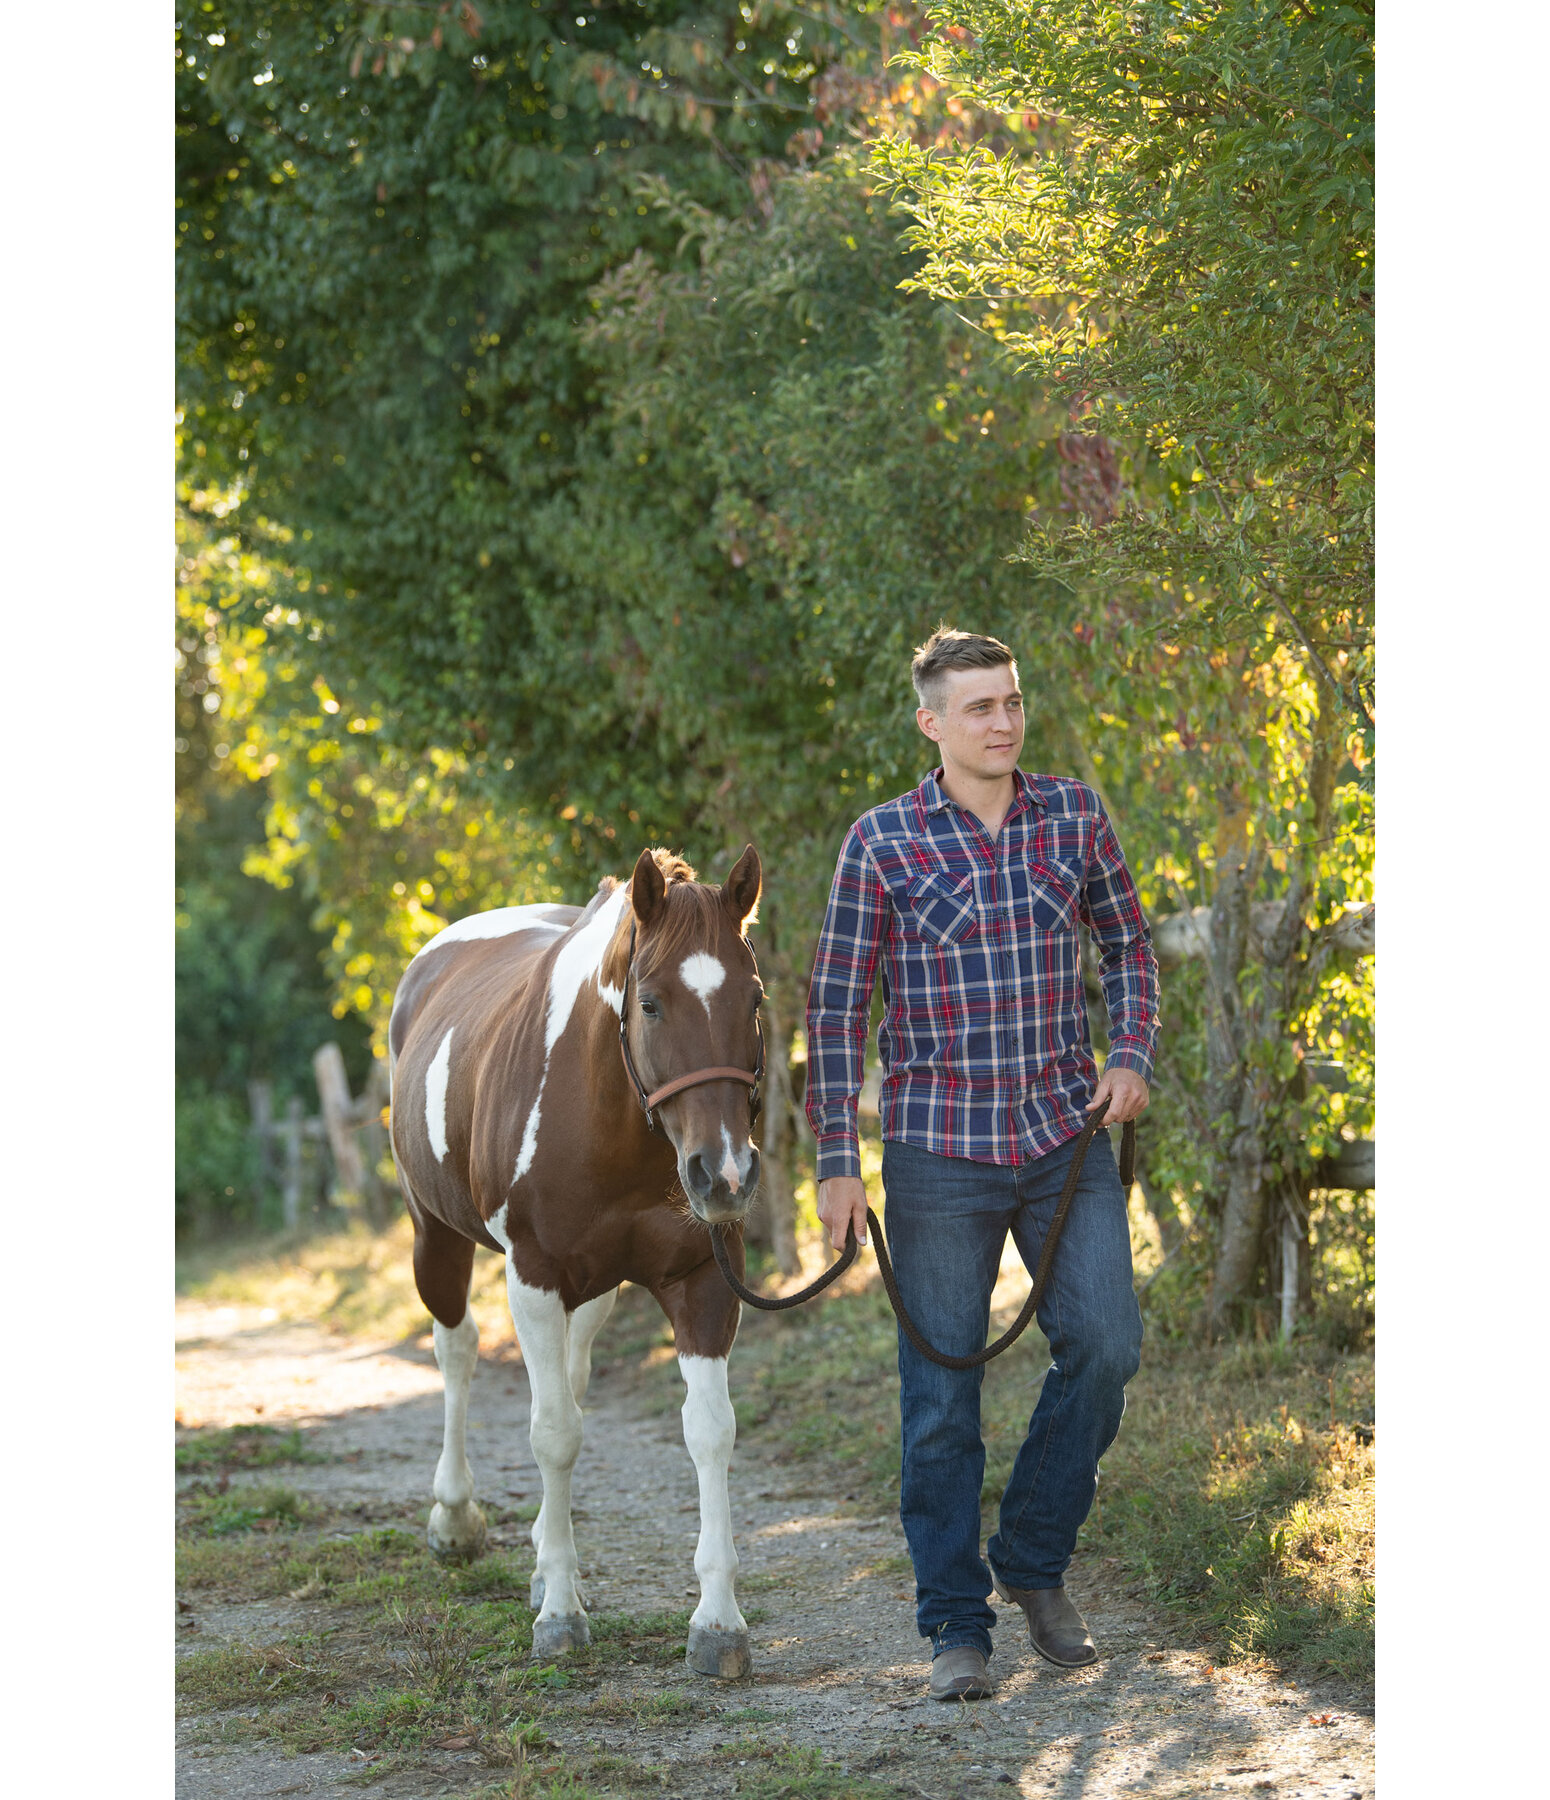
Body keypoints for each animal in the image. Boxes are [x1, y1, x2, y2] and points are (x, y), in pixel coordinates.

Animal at [387, 842, 763, 1670]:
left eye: (752, 999)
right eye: (650, 1003)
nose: (724, 1174)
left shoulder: (704, 1281)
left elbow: (709, 1430)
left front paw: (718, 1621)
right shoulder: (532, 1278)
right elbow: (553, 1432)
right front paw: (560, 1612)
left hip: (595, 1290)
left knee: (572, 1373)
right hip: (437, 1237)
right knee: (457, 1351)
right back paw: (455, 1519)